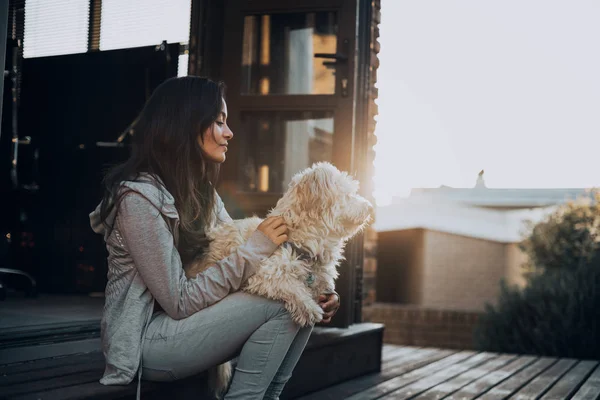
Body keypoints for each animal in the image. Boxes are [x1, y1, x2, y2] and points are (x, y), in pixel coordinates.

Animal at [183, 162, 372, 396]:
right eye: (348, 194)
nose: (370, 207)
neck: (300, 242)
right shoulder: (261, 273)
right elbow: (290, 286)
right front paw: (309, 308)